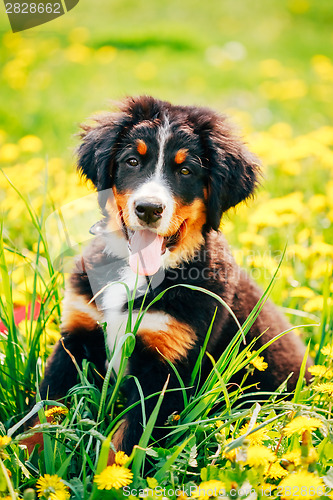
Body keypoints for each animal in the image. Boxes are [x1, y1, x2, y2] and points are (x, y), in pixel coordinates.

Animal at [38, 94, 308, 458]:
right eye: (132, 161)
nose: (149, 209)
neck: (139, 272)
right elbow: (38, 416)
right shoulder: (77, 335)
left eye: (185, 170)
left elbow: (126, 444)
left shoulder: (166, 368)